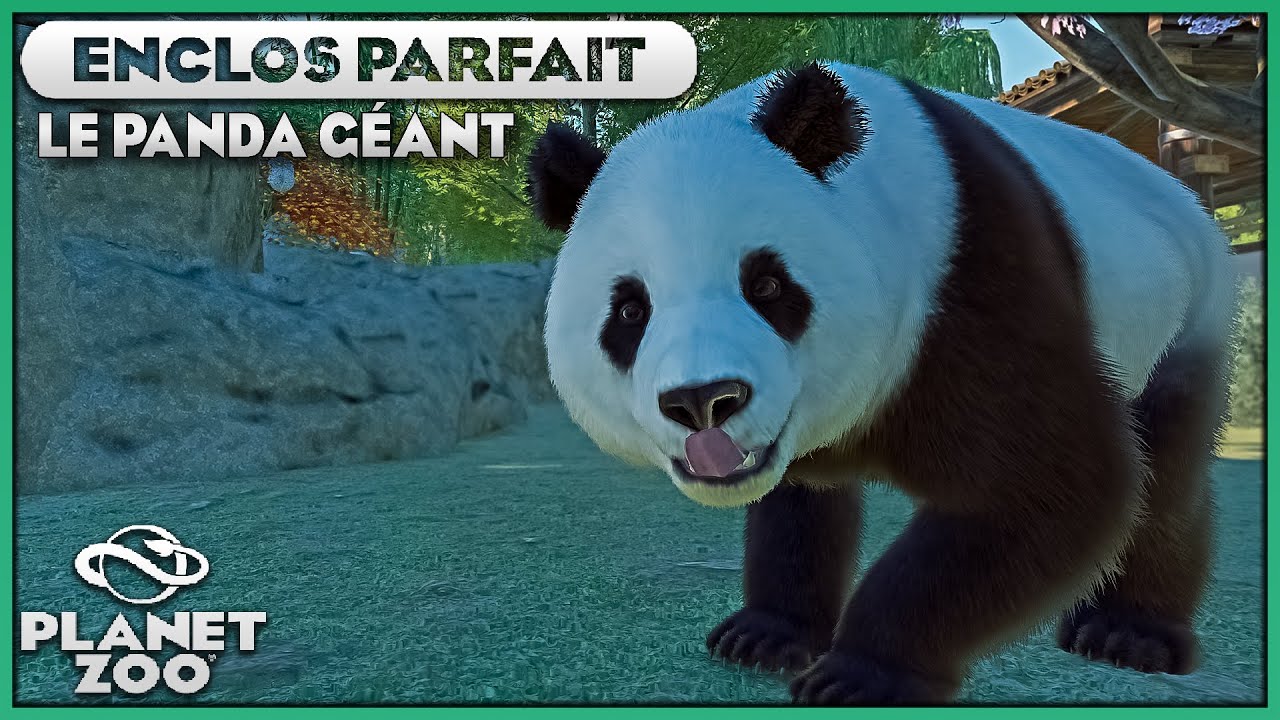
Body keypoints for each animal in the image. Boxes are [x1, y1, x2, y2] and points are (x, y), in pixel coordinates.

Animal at [527, 62, 1235, 704]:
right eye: (630, 311)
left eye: (767, 285)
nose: (703, 402)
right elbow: (799, 507)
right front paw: (766, 635)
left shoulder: (972, 278)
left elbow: (1055, 480)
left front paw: (859, 675)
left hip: (1185, 313)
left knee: (1166, 469)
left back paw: (1127, 634)